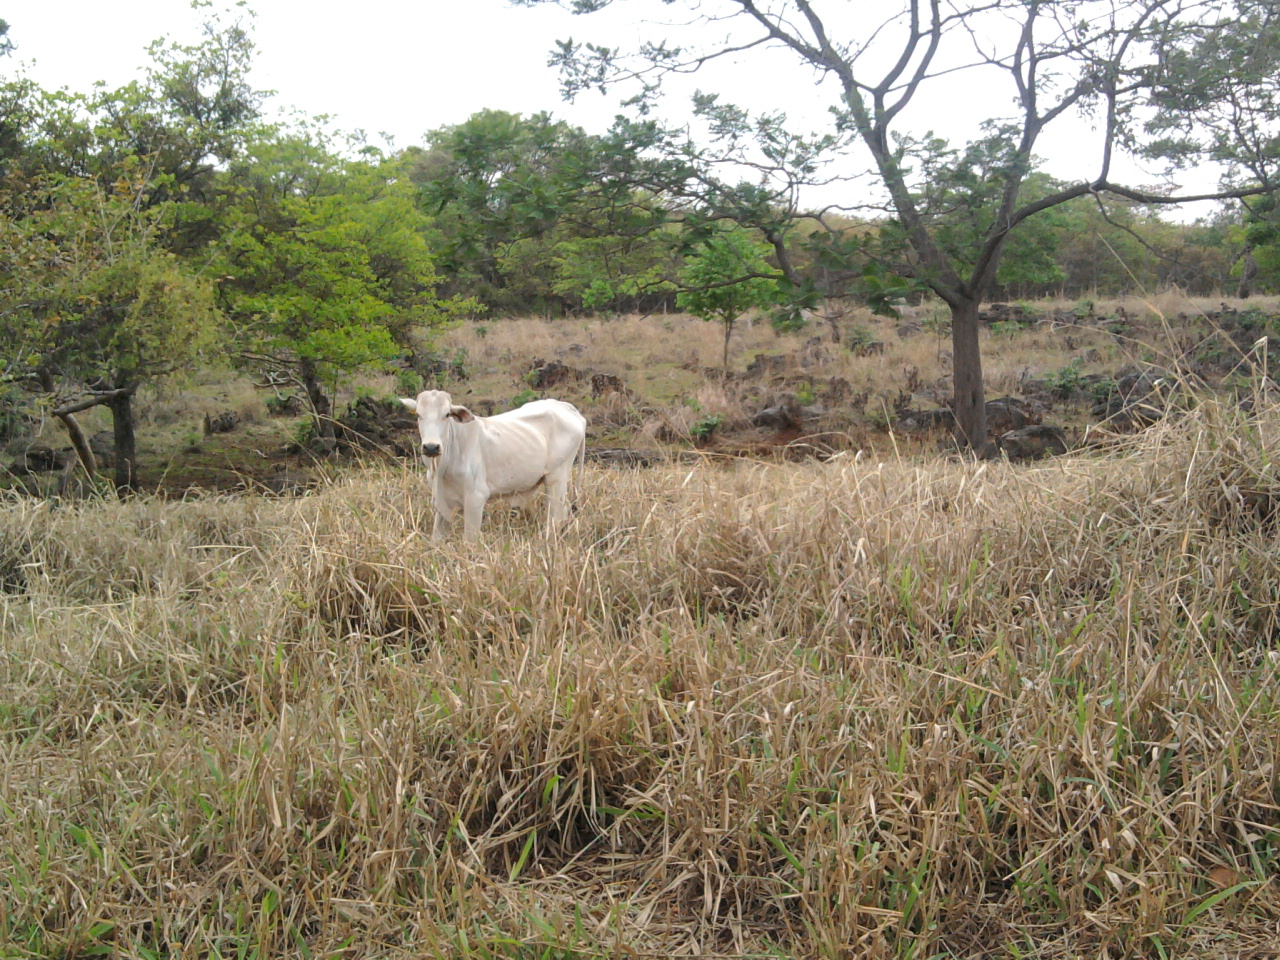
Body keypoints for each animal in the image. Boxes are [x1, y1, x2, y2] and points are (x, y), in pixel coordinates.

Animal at [396, 391, 586, 542]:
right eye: (418, 414)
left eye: (447, 414)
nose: (431, 447)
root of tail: (567, 407)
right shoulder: (442, 502)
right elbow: (436, 539)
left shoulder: (475, 498)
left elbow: (470, 540)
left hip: (556, 477)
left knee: (557, 517)